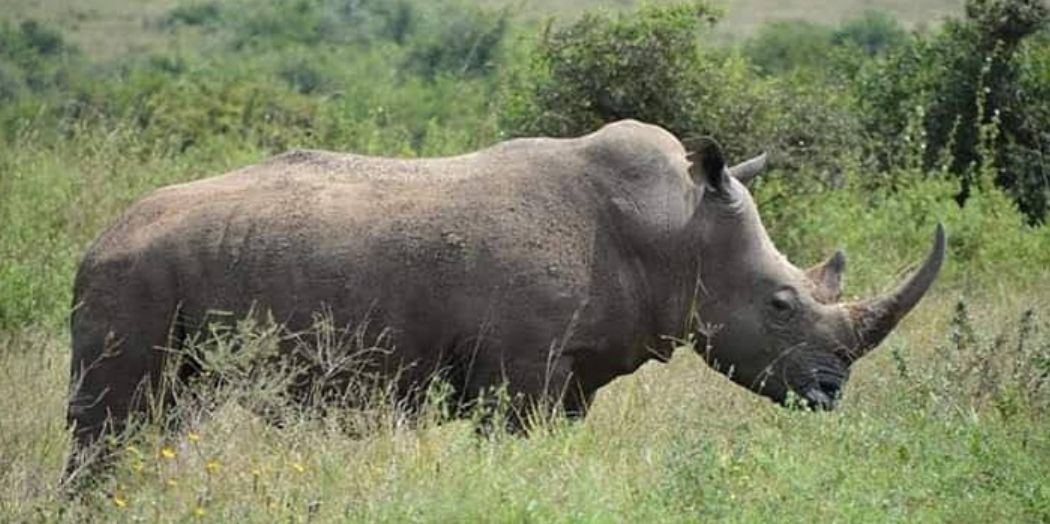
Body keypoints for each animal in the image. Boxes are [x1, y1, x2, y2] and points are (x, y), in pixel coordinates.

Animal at [66, 119, 944, 466]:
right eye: (780, 305)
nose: (831, 394)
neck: (672, 230)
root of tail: (98, 236)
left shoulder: (571, 374)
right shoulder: (517, 372)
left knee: (164, 416)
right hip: (131, 273)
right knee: (117, 417)